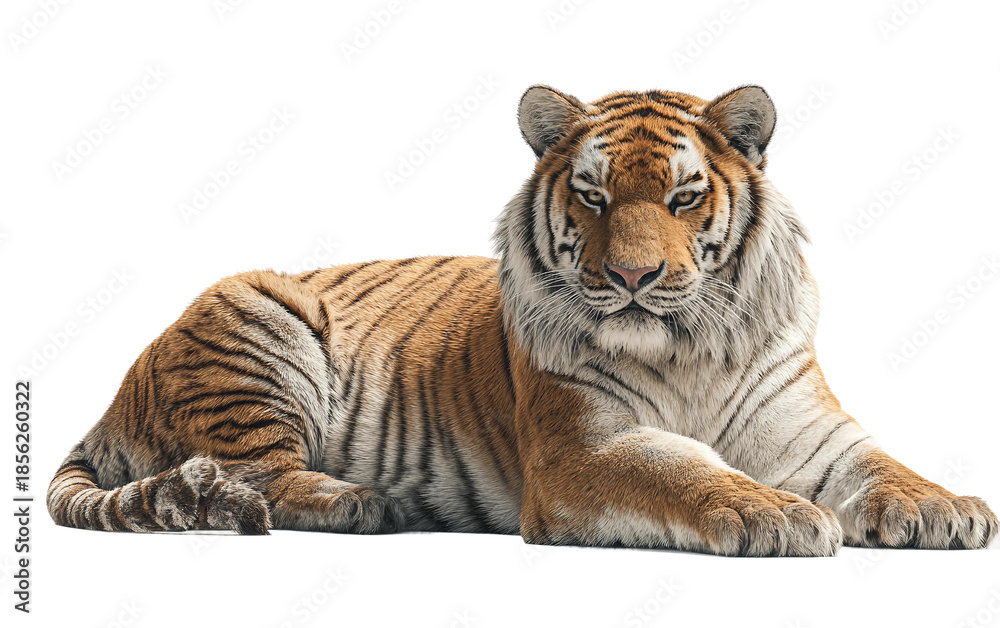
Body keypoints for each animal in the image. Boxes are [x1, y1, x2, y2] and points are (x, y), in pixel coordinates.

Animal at [48, 83, 997, 556]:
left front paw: (948, 509)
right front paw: (775, 514)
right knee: (260, 479)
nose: (633, 275)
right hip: (253, 322)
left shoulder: (808, 431)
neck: (690, 351)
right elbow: (682, 469)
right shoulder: (584, 449)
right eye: (594, 196)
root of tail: (113, 397)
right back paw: (365, 502)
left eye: (684, 199)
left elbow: (882, 465)